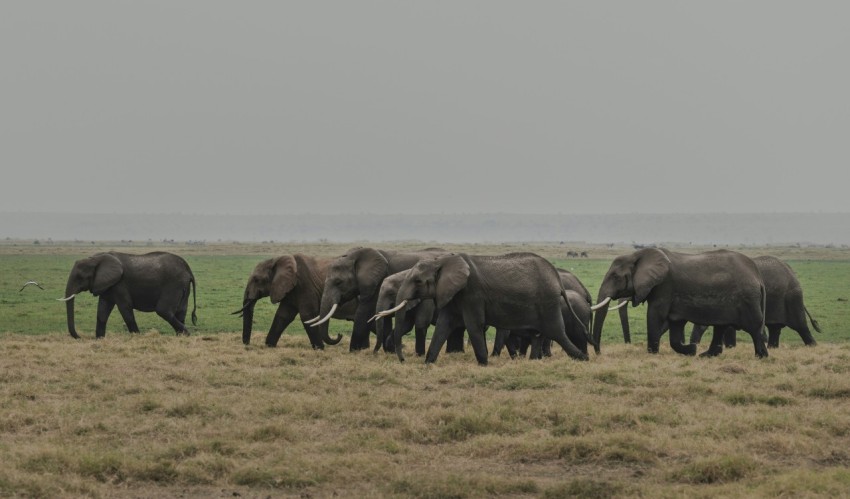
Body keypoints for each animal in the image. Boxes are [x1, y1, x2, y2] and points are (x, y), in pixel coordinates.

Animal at [59, 251, 197, 338]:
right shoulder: (107, 285)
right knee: (180, 312)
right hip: (183, 286)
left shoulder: (120, 284)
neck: (95, 258)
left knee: (164, 310)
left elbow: (125, 308)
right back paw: (180, 337)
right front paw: (99, 339)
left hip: (174, 284)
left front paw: (137, 337)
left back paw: (186, 335)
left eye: (80, 277)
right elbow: (102, 311)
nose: (79, 337)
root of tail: (188, 269)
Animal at [308, 247, 447, 352]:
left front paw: (354, 351)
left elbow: (363, 313)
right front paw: (388, 351)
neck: (354, 255)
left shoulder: (377, 281)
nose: (339, 335)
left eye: (338, 282)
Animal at [387, 252, 590, 365]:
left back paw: (583, 359)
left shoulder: (472, 293)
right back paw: (535, 361)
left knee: (557, 332)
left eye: (418, 281)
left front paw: (484, 364)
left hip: (547, 302)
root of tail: (556, 277)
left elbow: (473, 325)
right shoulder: (453, 293)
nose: (403, 360)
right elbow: (444, 326)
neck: (441, 261)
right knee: (541, 334)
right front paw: (428, 363)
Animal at [591, 248, 768, 358]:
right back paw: (705, 355)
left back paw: (761, 356)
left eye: (615, 277)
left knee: (754, 327)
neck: (637, 255)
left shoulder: (664, 286)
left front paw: (652, 354)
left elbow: (655, 314)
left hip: (747, 299)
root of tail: (758, 277)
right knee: (721, 327)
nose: (599, 353)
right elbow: (675, 325)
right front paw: (691, 350)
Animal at [689, 255, 820, 352]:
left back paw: (813, 346)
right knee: (775, 327)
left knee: (800, 325)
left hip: (791, 297)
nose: (694, 346)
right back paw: (772, 348)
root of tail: (792, 272)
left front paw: (731, 348)